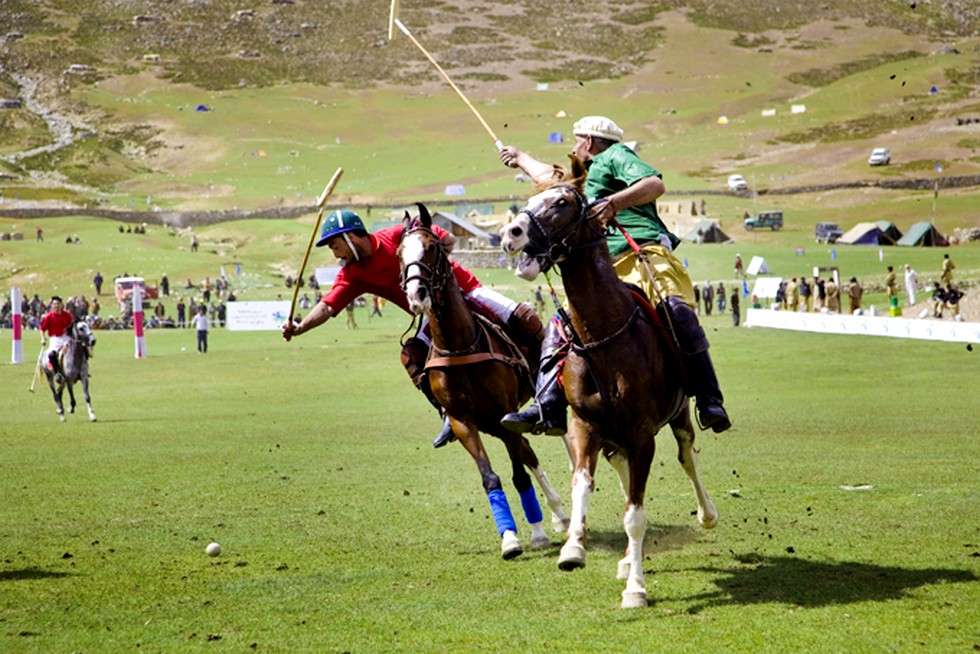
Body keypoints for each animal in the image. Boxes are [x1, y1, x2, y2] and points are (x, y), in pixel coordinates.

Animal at [398, 204, 568, 560]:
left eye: (432, 247)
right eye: (399, 252)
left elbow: (519, 475)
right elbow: (491, 477)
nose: (417, 295)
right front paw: (510, 539)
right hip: (492, 423)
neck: (459, 345)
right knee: (529, 451)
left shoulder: (504, 414)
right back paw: (559, 515)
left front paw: (537, 533)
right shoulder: (464, 421)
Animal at [502, 170, 716, 608]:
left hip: (679, 415)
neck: (603, 336)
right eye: (532, 199)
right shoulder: (585, 427)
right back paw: (624, 559)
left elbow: (635, 514)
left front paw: (636, 588)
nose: (511, 233)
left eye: (563, 202)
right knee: (621, 471)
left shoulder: (642, 434)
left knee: (687, 457)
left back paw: (707, 514)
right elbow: (583, 485)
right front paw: (573, 549)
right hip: (613, 437)